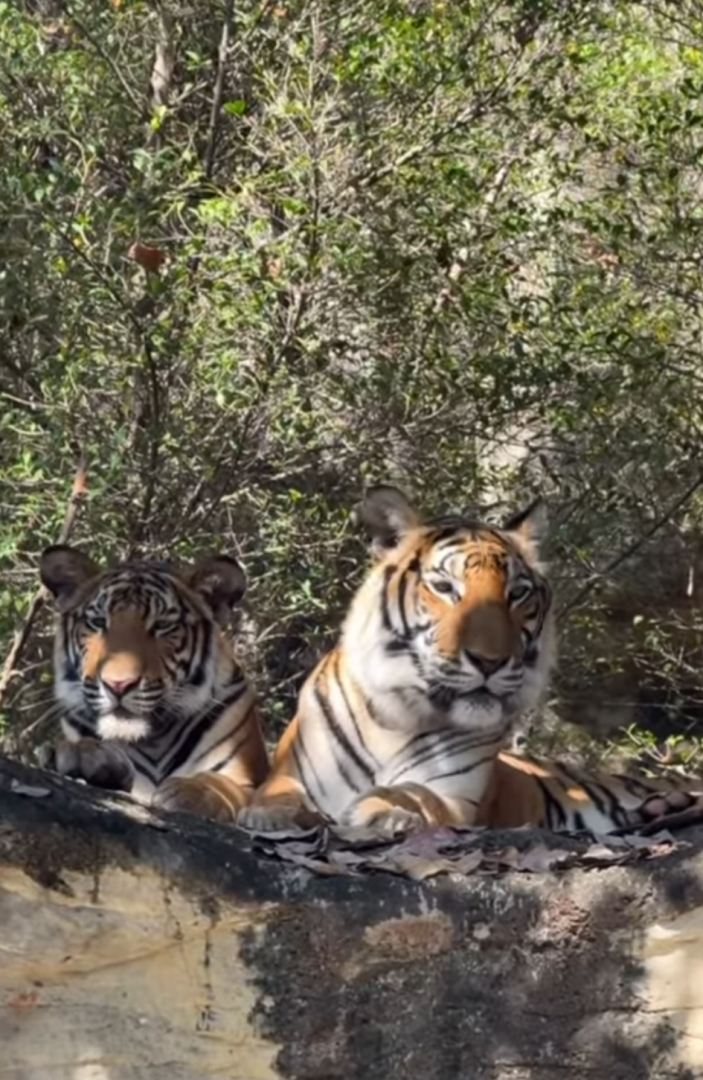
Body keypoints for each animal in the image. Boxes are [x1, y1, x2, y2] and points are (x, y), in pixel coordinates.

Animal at [39, 543, 269, 822]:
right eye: (98, 622)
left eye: (162, 625)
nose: (118, 685)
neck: (152, 742)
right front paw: (82, 754)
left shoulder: (248, 779)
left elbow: (223, 784)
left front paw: (191, 791)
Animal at [238, 484, 703, 838]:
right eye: (445, 587)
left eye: (518, 593)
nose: (489, 661)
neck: (398, 717)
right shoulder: (291, 773)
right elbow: (277, 794)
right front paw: (265, 814)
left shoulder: (454, 798)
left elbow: (412, 792)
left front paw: (386, 811)